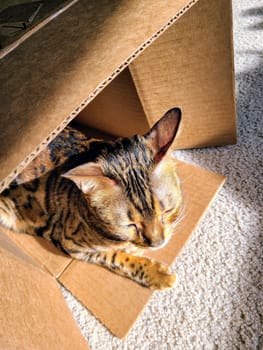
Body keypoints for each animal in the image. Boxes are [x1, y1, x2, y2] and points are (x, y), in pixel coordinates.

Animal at [0, 108, 184, 288]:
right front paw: (158, 274)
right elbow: (116, 257)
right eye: (130, 224)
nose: (157, 244)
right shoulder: (71, 243)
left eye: (168, 211)